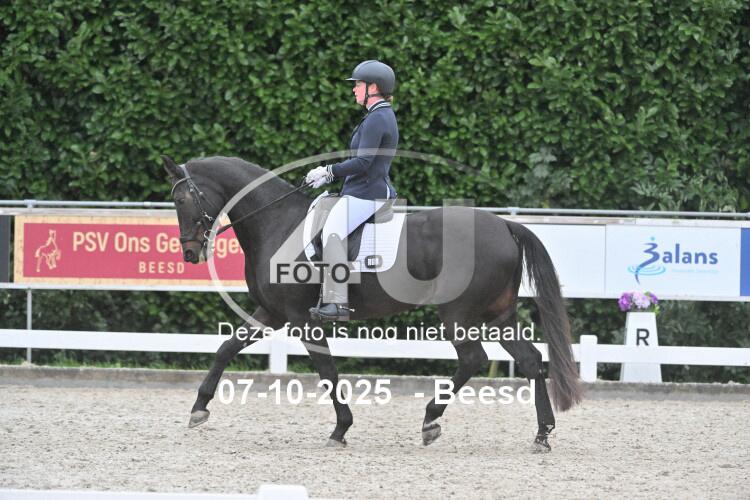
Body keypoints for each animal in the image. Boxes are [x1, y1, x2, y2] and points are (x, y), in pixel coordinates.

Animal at [162, 154, 582, 452]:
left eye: (181, 198)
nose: (189, 253)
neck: (277, 223)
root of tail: (505, 225)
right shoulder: (271, 313)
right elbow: (226, 347)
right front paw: (199, 408)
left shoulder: (301, 319)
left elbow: (328, 372)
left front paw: (340, 428)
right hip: (498, 315)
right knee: (530, 360)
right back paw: (542, 434)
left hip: (459, 313)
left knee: (472, 359)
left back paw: (431, 420)